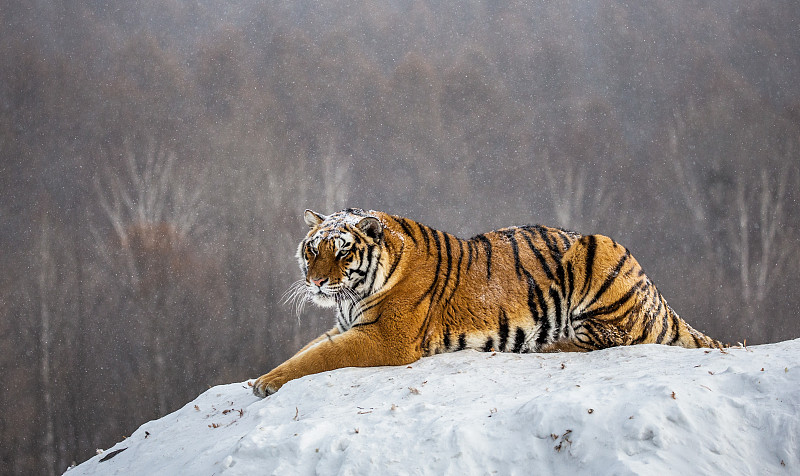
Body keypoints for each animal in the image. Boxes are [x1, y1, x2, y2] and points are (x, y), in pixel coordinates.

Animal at [252, 208, 724, 398]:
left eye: (343, 252)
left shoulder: (386, 337)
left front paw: (266, 383)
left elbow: (318, 358)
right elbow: (309, 349)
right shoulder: (346, 325)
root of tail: (657, 294)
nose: (315, 281)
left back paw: (543, 346)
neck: (352, 296)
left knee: (612, 338)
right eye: (313, 249)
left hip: (600, 255)